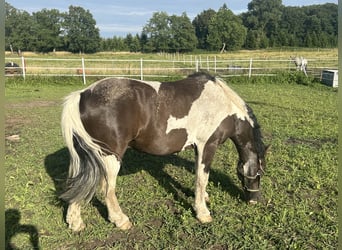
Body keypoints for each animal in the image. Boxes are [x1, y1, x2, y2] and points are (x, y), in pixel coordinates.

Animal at [60, 72, 268, 232]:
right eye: (259, 173)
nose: (255, 200)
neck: (222, 103)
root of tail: (82, 95)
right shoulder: (207, 145)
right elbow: (203, 177)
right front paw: (203, 213)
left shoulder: (198, 149)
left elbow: (198, 176)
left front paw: (203, 198)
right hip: (110, 157)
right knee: (107, 189)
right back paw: (121, 221)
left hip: (86, 156)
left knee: (77, 184)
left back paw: (75, 223)